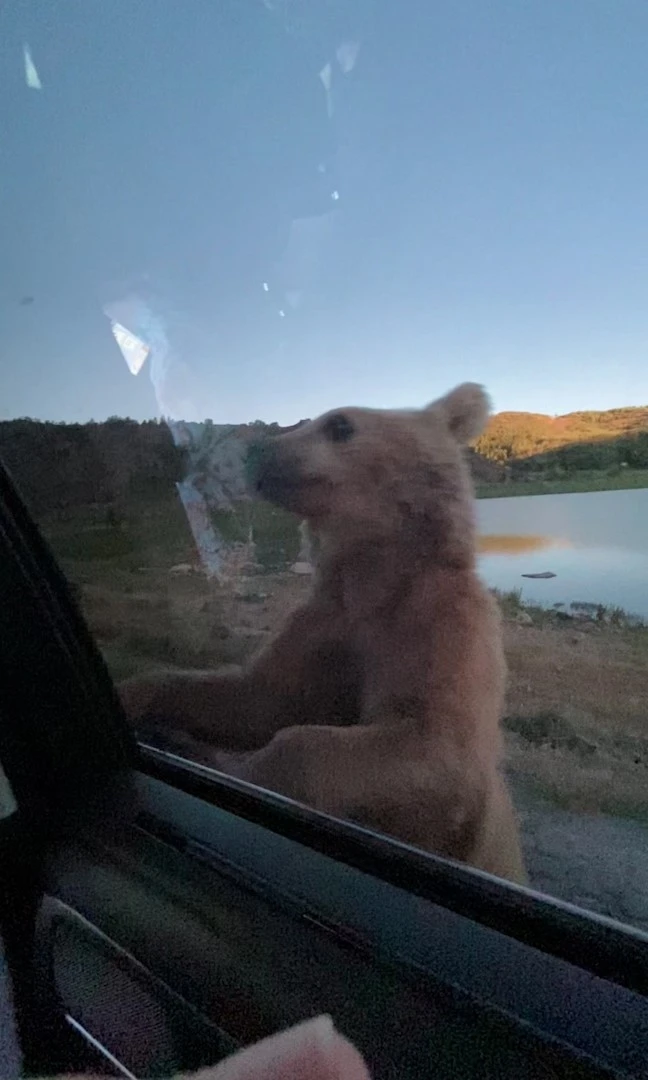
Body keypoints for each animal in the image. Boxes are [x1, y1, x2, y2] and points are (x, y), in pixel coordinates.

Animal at [120, 384, 527, 881]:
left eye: (339, 424)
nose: (257, 450)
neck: (369, 579)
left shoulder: (437, 627)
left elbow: (433, 745)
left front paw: (219, 760)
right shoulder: (325, 624)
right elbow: (255, 696)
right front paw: (137, 699)